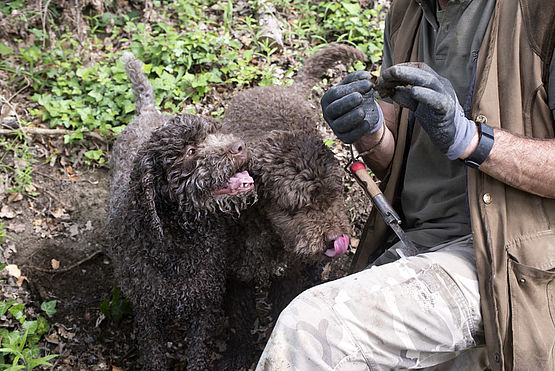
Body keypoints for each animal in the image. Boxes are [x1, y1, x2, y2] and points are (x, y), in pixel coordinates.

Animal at [107, 53, 256, 371]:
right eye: (189, 151)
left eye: (214, 132)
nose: (240, 146)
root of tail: (147, 112)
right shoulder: (147, 312)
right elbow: (153, 354)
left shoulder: (204, 306)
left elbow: (198, 352)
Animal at [222, 42, 370, 366]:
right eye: (297, 205)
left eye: (335, 194)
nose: (337, 239)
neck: (266, 233)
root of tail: (287, 89)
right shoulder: (237, 279)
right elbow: (237, 324)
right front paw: (238, 356)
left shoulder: (289, 273)